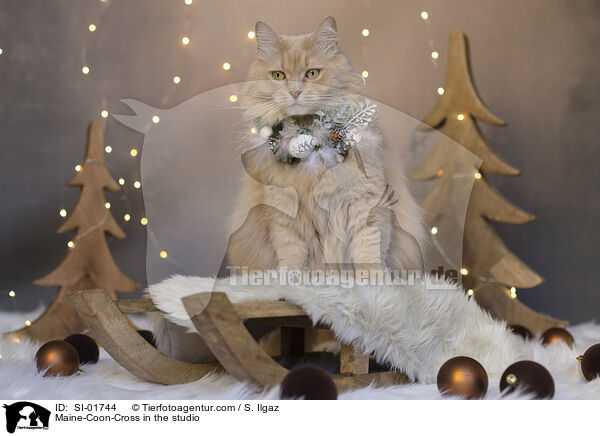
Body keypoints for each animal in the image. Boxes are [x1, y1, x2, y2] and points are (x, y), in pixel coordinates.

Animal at [226, 17, 426, 276]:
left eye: (312, 73)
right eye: (279, 75)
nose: (295, 92)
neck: (312, 141)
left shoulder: (366, 203)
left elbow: (369, 252)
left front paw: (374, 282)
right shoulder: (284, 215)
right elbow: (292, 257)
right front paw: (291, 282)